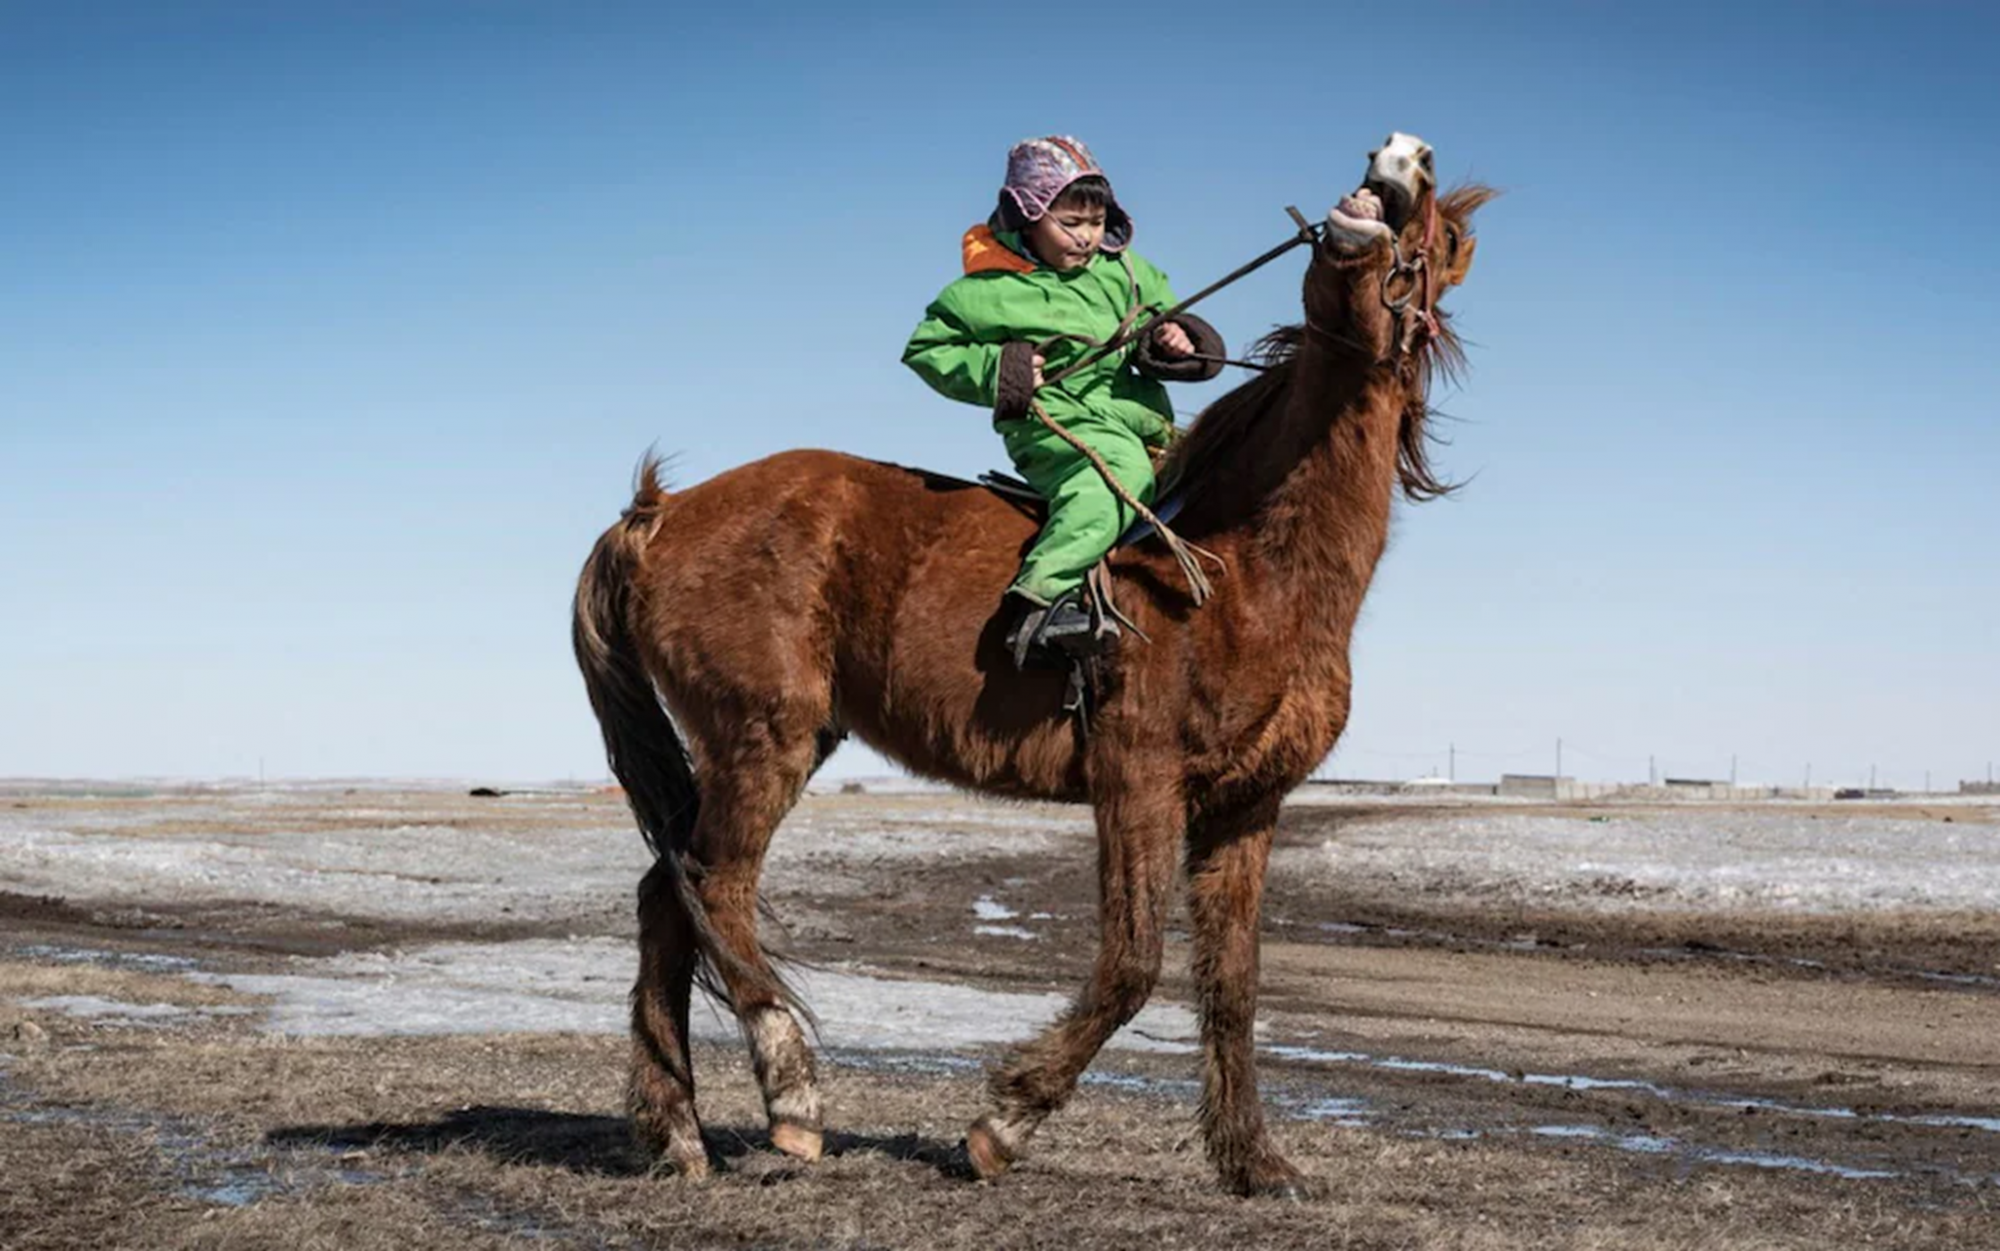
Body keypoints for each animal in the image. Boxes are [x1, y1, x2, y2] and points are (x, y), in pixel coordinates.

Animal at [576, 133, 1488, 1191]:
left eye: (1444, 238)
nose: (1398, 158)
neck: (1244, 567)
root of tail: (662, 512)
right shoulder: (1137, 780)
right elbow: (1133, 962)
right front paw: (1004, 1122)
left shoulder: (1246, 806)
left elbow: (1234, 986)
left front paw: (1257, 1162)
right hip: (760, 739)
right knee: (714, 886)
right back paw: (792, 1091)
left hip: (769, 746)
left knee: (666, 896)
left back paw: (677, 1132)